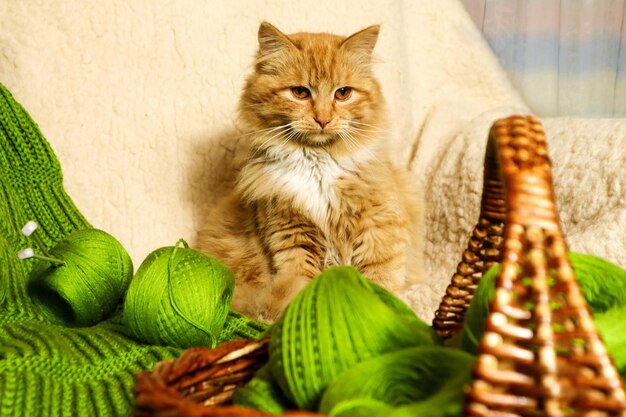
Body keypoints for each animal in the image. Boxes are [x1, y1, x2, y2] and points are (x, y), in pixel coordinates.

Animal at [196, 22, 424, 322]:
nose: (323, 119)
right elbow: (303, 284)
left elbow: (381, 278)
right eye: (301, 93)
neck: (318, 166)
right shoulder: (291, 236)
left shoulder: (380, 225)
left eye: (342, 93)